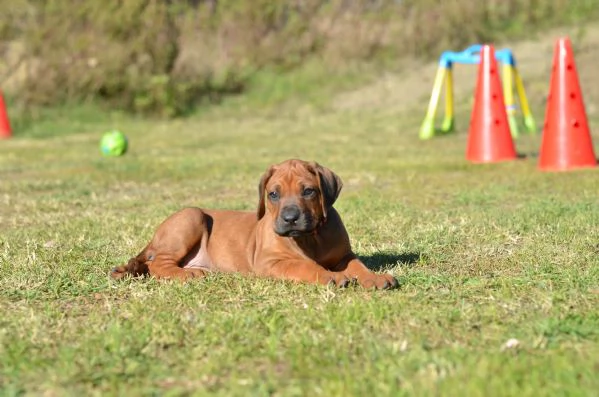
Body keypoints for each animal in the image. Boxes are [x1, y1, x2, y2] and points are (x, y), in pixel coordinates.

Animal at [112, 158, 398, 288]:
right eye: (273, 194)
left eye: (308, 191)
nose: (290, 218)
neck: (311, 237)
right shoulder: (271, 262)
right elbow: (305, 266)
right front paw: (331, 276)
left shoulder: (344, 255)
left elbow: (357, 265)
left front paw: (374, 278)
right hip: (191, 216)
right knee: (157, 264)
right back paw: (187, 273)